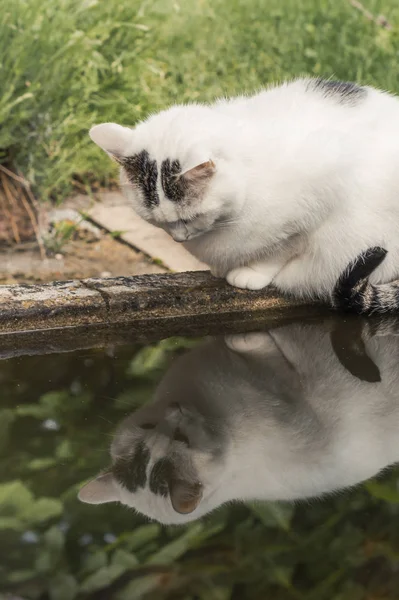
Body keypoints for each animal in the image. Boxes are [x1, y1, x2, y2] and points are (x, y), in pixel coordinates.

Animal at [90, 78, 399, 314]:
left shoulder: (319, 198)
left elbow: (282, 248)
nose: (179, 238)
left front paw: (250, 272)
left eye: (191, 217)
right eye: (158, 221)